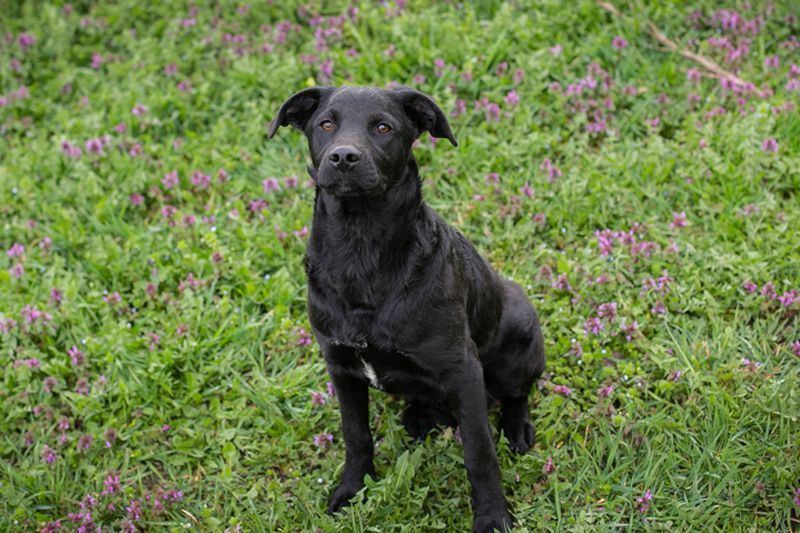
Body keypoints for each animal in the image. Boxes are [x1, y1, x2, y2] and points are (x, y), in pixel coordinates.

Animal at [269, 86, 545, 532]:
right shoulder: (340, 365)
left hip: (517, 335)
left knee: (517, 392)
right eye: (326, 124)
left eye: (384, 127)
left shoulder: (464, 369)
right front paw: (352, 490)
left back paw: (516, 427)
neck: (360, 247)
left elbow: (479, 453)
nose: (343, 157)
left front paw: (492, 517)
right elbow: (356, 434)